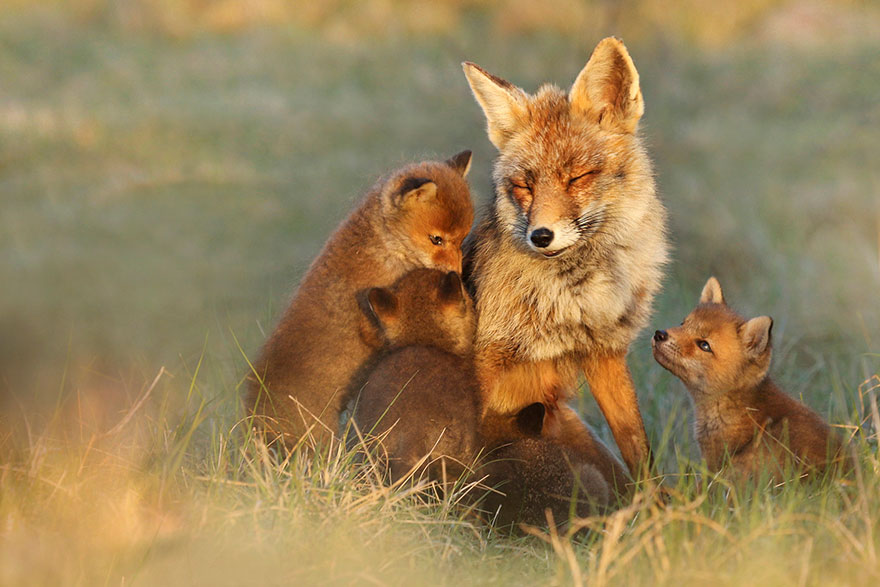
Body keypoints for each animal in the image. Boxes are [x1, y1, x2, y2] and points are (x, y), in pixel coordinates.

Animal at [461, 37, 669, 477]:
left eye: (577, 178)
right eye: (524, 185)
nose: (541, 236)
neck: (571, 298)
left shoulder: (605, 352)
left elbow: (638, 448)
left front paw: (656, 499)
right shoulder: (487, 357)